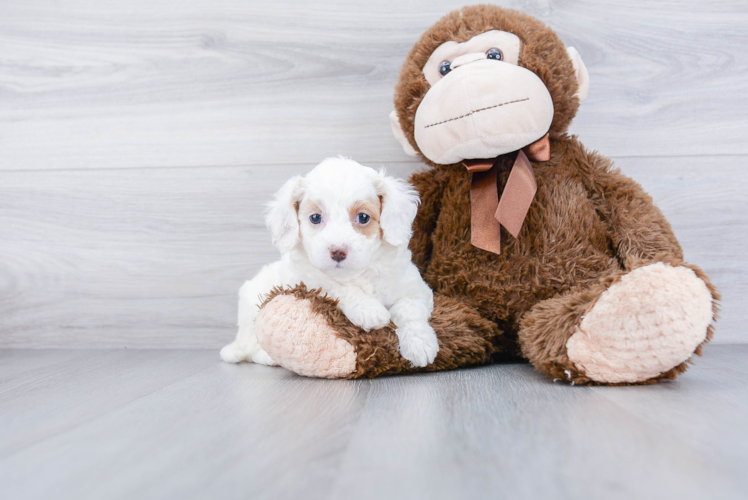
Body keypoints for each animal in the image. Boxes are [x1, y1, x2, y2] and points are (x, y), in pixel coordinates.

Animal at [219, 158, 442, 370]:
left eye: (363, 217)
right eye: (315, 218)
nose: (338, 251)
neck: (358, 274)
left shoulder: (415, 289)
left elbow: (408, 310)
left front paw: (420, 345)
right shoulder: (307, 280)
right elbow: (337, 286)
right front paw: (369, 309)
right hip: (252, 313)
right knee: (251, 349)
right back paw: (268, 358)